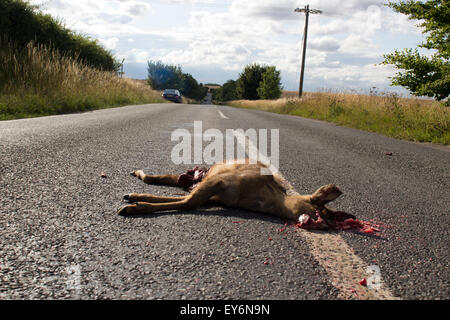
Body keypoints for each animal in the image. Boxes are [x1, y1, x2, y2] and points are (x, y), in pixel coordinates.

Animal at [118, 160, 356, 228]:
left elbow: (186, 201)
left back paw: (134, 195)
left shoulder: (216, 191)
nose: (328, 224)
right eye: (321, 210)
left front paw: (138, 202)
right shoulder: (219, 182)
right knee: (167, 181)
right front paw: (137, 205)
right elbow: (187, 202)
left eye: (328, 215)